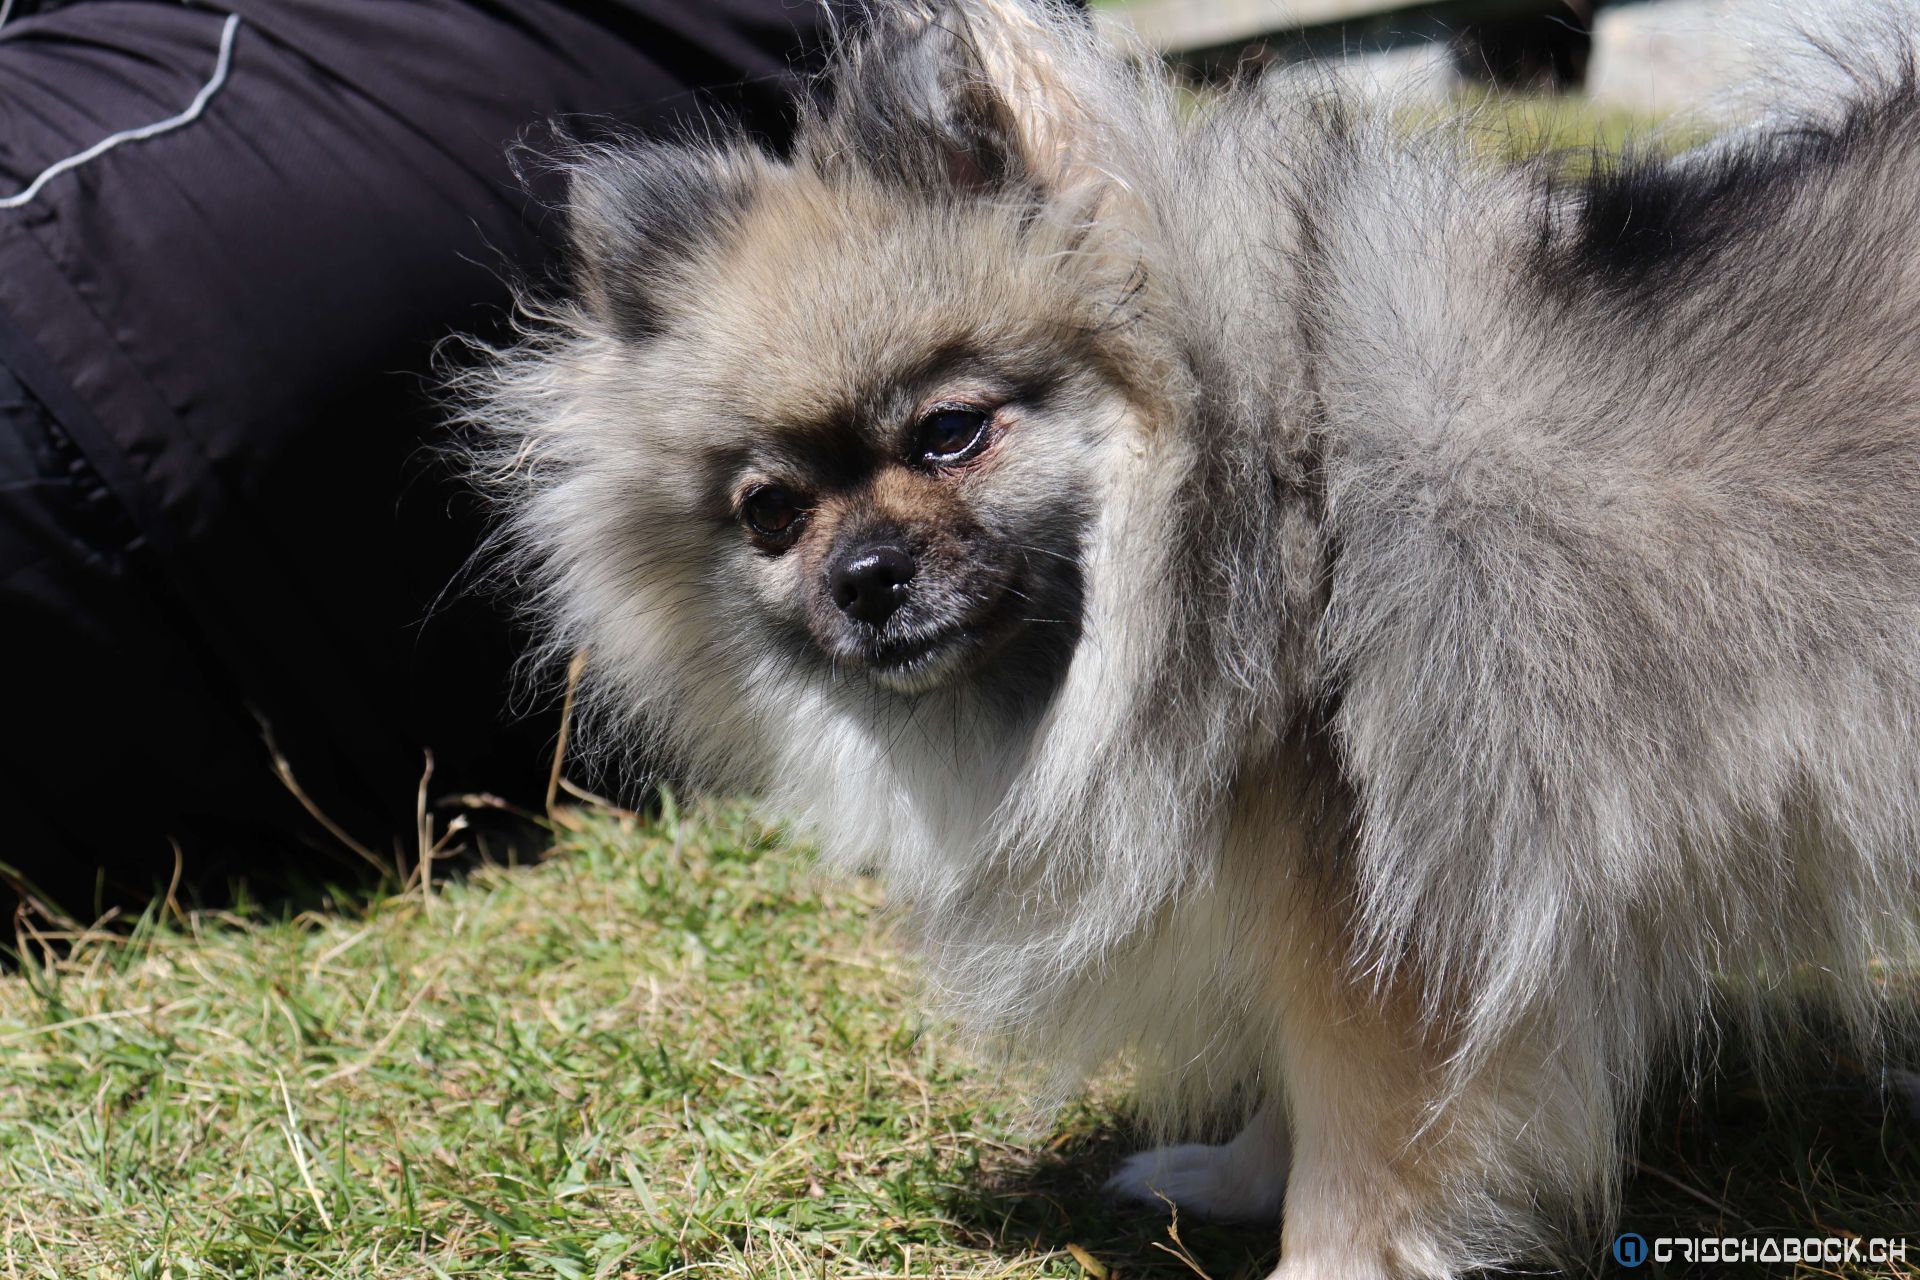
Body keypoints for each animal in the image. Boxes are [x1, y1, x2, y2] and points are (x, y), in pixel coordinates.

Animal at [460, 5, 1920, 1274]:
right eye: (771, 511)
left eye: (950, 432)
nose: (864, 576)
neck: (1264, 510)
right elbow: (1293, 1093)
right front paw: (1229, 1175)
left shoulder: (1388, 926)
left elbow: (1359, 1146)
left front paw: (1319, 1260)